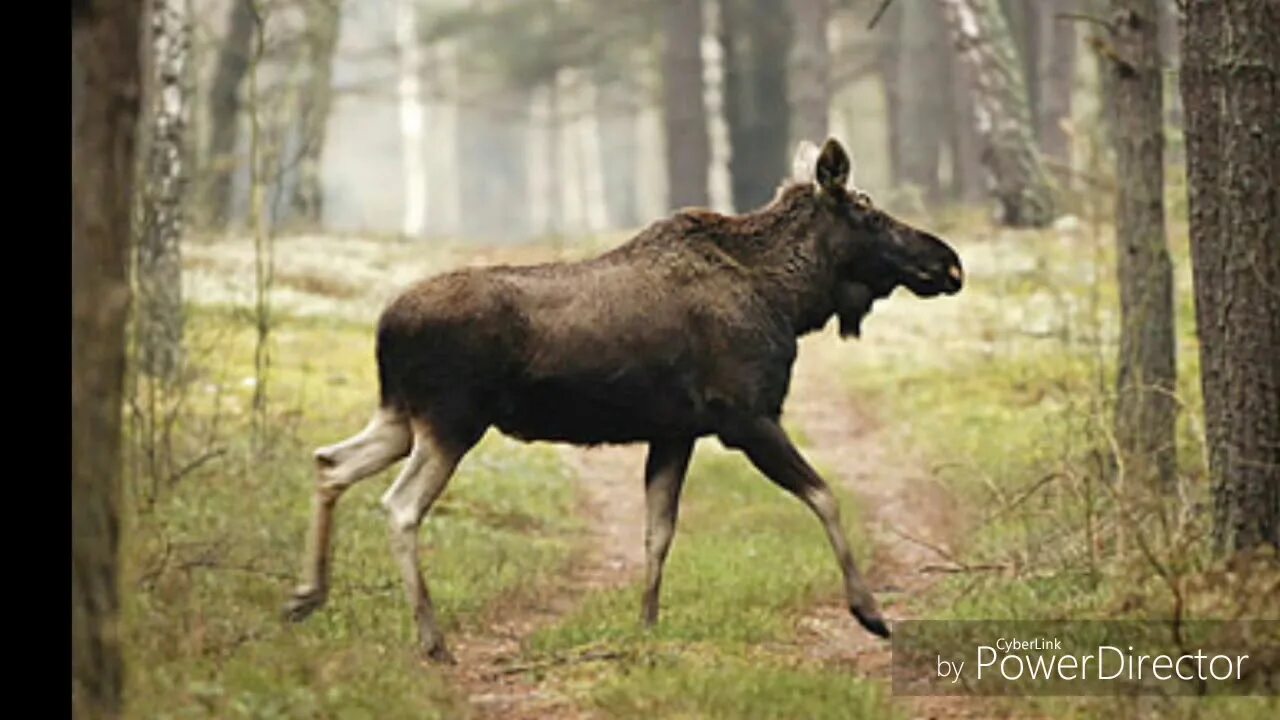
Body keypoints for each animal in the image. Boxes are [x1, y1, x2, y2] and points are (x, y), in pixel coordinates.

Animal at [280, 137, 962, 661]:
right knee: (399, 506)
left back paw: (306, 596)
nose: (950, 262)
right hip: (451, 421)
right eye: (869, 213)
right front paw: (868, 610)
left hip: (402, 416)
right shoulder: (746, 416)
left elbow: (658, 531)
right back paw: (430, 638)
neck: (790, 300)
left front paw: (647, 625)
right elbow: (824, 495)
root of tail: (383, 327)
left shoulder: (676, 431)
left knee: (329, 461)